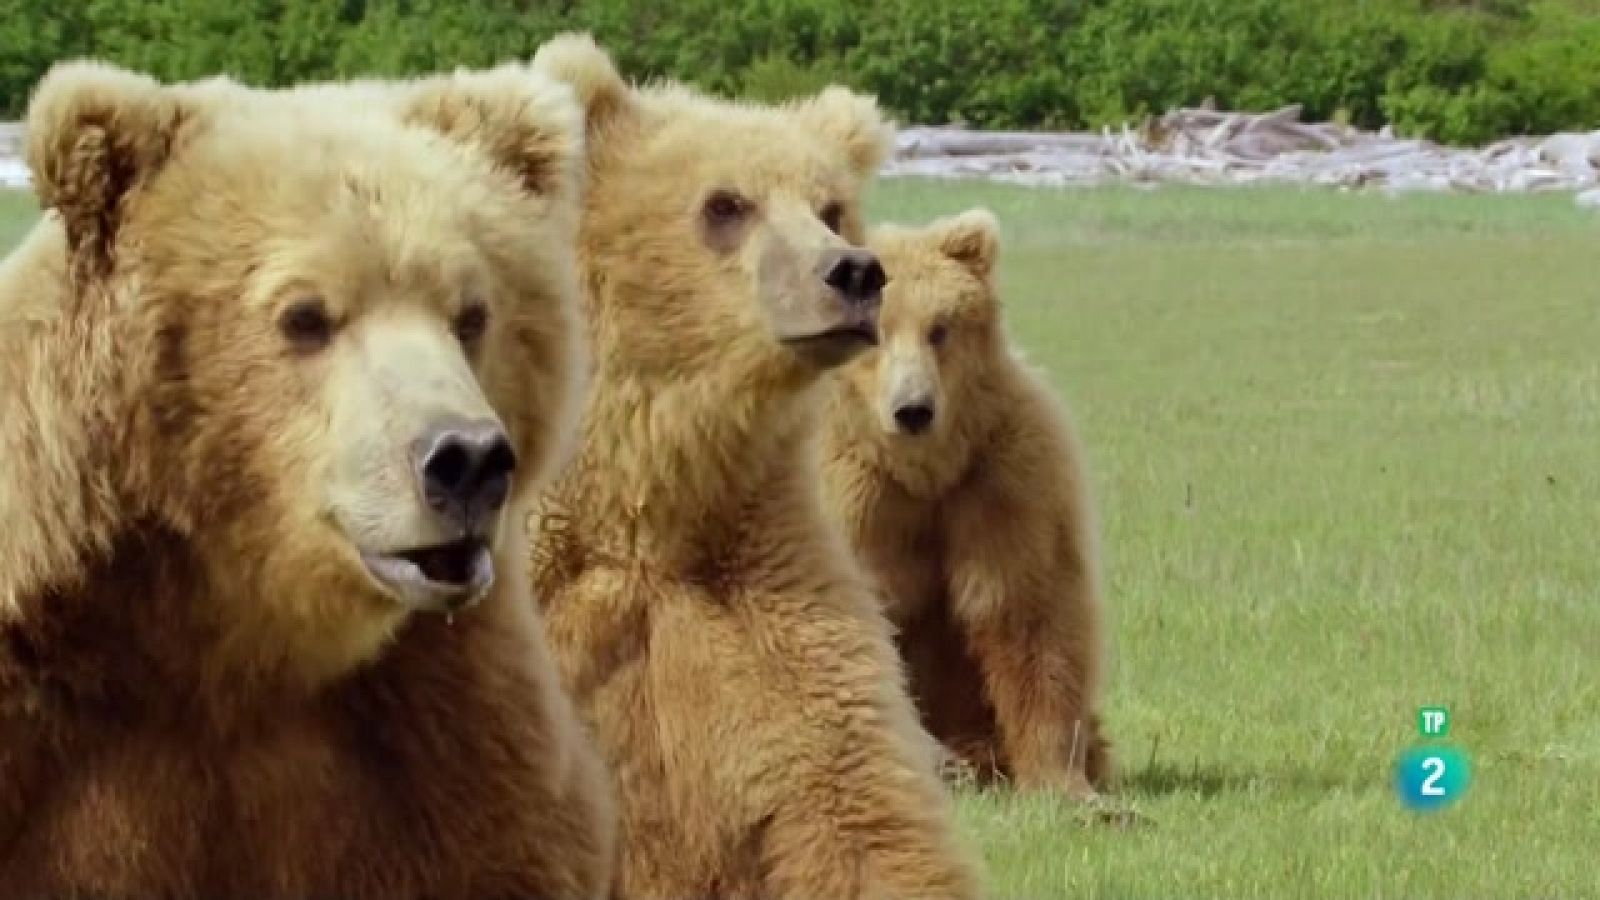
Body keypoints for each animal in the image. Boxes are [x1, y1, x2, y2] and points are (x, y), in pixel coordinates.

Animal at [820, 208, 1115, 802]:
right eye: (876, 332)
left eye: (940, 327)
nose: (913, 409)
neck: (925, 472)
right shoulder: (853, 496)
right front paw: (935, 762)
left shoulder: (1006, 480)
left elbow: (1029, 613)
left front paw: (1069, 785)